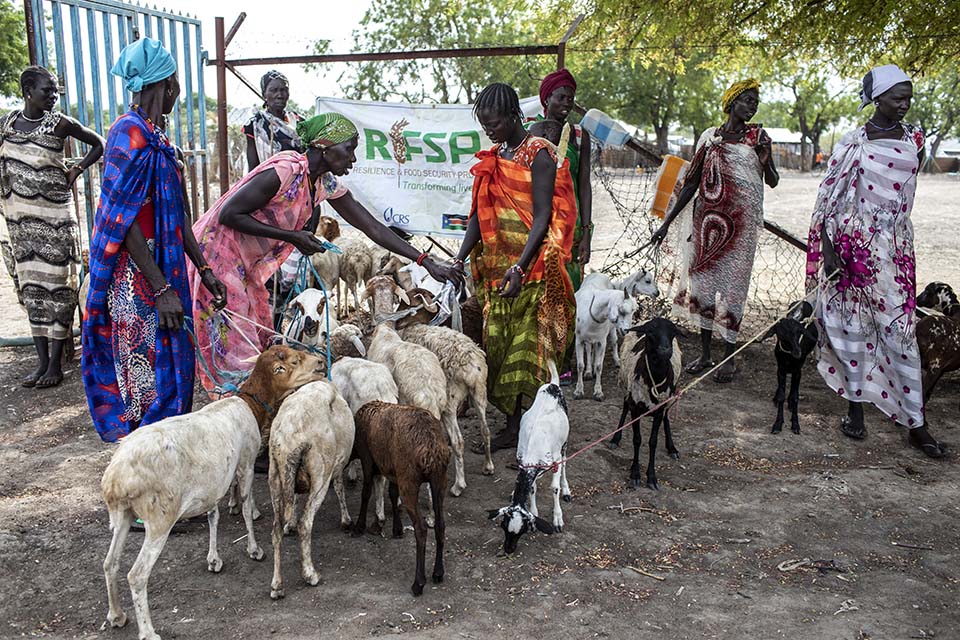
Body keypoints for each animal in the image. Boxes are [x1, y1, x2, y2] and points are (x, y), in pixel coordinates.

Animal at [102, 348, 322, 640]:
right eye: (293, 362)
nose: (320, 363)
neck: (249, 405)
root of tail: (115, 479)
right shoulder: (246, 463)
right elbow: (245, 506)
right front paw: (254, 549)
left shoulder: (213, 482)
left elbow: (213, 516)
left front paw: (214, 559)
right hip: (159, 518)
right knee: (137, 575)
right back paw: (148, 631)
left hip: (122, 515)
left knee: (110, 563)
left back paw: (116, 615)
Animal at [268, 380, 354, 600]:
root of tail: (288, 440)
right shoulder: (337, 463)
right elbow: (339, 487)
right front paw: (346, 520)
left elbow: (295, 499)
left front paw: (289, 523)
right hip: (320, 472)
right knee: (306, 524)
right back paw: (310, 574)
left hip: (275, 474)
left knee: (276, 530)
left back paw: (277, 586)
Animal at [352, 402, 450, 596]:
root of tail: (431, 449)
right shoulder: (393, 470)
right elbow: (392, 493)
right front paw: (397, 529)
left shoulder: (368, 459)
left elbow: (366, 492)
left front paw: (359, 527)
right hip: (439, 480)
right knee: (440, 524)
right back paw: (438, 572)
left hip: (409, 480)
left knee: (421, 528)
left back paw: (418, 583)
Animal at [488, 360, 568, 556]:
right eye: (503, 526)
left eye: (521, 531)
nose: (508, 550)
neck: (534, 444)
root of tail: (553, 385)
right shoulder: (525, 463)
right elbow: (532, 488)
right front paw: (535, 511)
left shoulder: (555, 460)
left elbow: (554, 488)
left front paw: (557, 519)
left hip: (564, 444)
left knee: (565, 464)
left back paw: (567, 490)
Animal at [764, 302, 816, 436]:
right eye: (782, 335)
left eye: (799, 332)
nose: (798, 352)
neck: (789, 356)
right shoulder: (781, 370)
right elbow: (782, 395)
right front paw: (778, 424)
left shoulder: (798, 371)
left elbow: (795, 397)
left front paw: (795, 424)